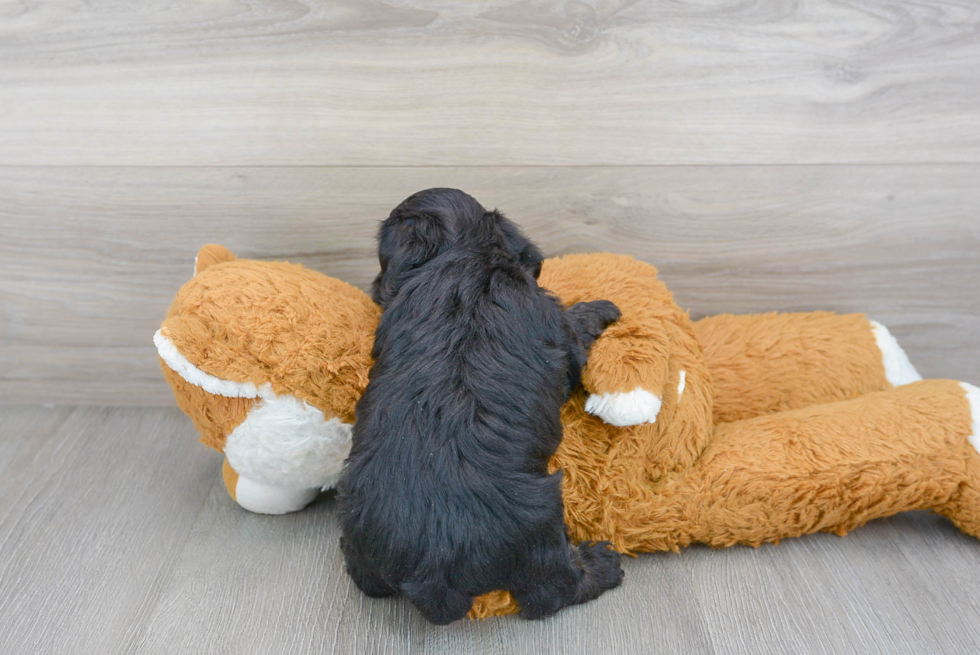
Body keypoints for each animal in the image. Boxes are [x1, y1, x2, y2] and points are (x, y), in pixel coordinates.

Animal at [340, 188, 624, 624]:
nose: (373, 287)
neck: (464, 255)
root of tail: (433, 566)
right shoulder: (559, 331)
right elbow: (574, 325)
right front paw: (603, 308)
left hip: (357, 535)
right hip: (539, 533)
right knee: (553, 590)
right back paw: (602, 565)